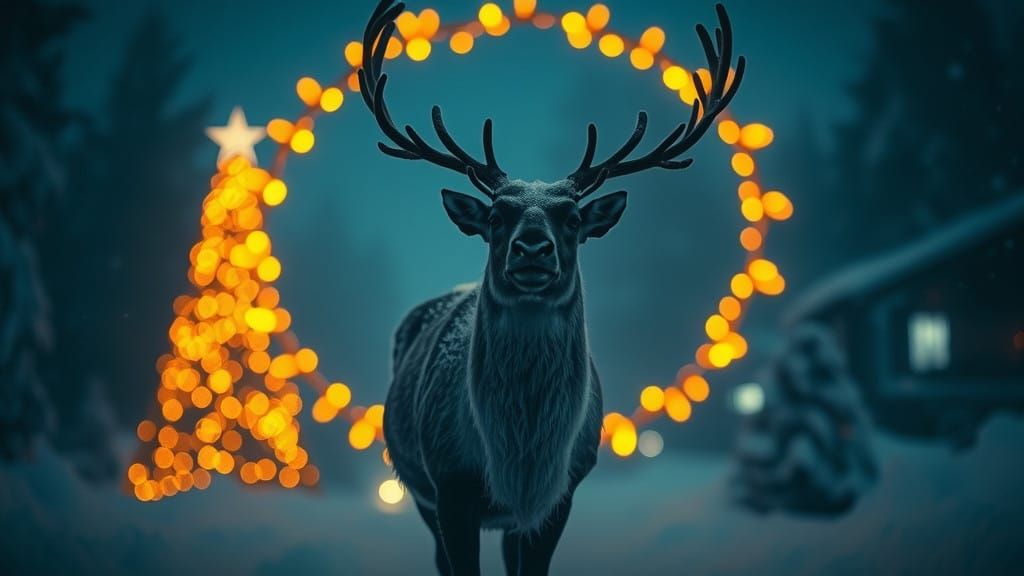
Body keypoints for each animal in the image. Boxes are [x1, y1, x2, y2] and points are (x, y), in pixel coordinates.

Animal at [357, 1, 744, 574]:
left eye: (573, 218)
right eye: (496, 216)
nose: (533, 248)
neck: (520, 462)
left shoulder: (560, 494)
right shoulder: (449, 485)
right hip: (418, 486)